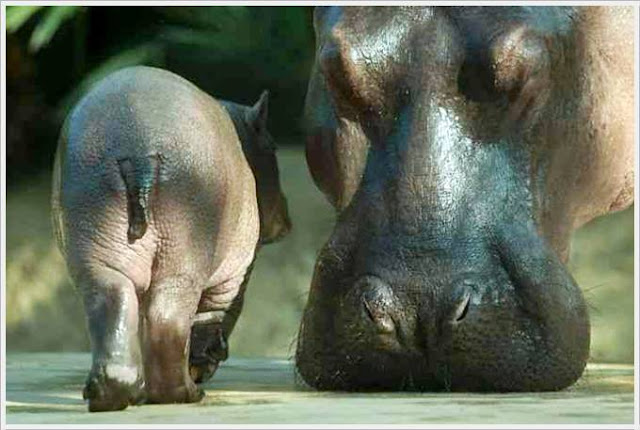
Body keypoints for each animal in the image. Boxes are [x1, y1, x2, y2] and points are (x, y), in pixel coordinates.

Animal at [51, 65, 292, 412]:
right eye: (273, 146)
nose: (287, 221)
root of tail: (138, 146)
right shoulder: (235, 275)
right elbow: (214, 319)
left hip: (98, 249)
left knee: (112, 301)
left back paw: (111, 394)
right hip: (184, 258)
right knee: (169, 320)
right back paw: (184, 394)